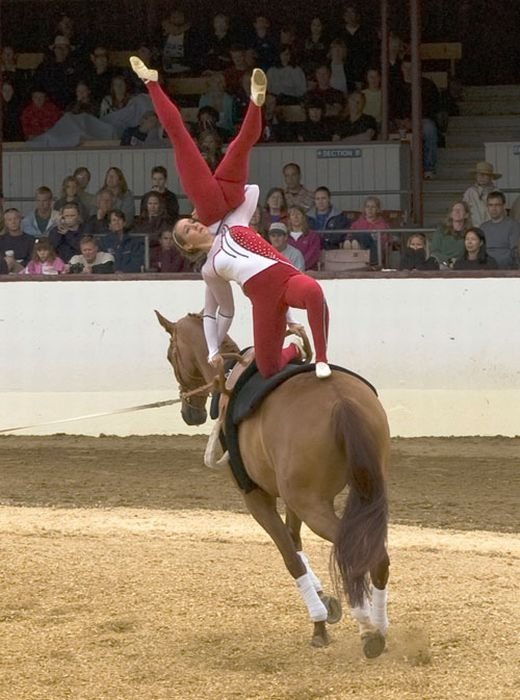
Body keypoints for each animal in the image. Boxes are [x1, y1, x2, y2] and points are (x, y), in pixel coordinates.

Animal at [155, 312, 390, 656]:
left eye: (171, 355)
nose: (189, 413)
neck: (229, 374)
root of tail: (341, 401)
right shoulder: (292, 502)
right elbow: (295, 543)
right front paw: (325, 604)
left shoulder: (255, 497)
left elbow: (290, 557)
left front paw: (319, 622)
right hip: (363, 492)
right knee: (377, 555)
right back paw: (379, 625)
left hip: (313, 505)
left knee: (355, 550)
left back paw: (369, 629)